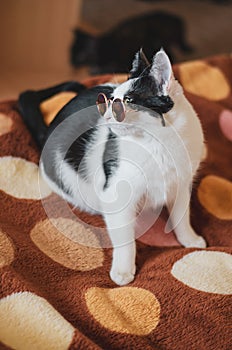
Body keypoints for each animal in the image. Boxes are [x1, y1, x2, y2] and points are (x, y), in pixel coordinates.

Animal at [19, 49, 206, 286]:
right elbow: (125, 239)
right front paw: (123, 271)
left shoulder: (181, 185)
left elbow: (182, 217)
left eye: (127, 101)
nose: (106, 115)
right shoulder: (116, 195)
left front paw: (190, 239)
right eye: (110, 101)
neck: (159, 144)